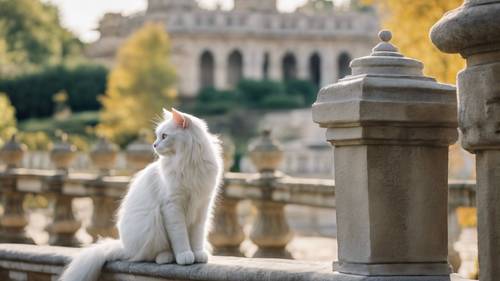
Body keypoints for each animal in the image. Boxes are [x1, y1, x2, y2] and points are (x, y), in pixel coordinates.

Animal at [59, 107, 223, 280]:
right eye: (158, 136)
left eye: (164, 136)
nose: (154, 145)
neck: (188, 163)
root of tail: (124, 247)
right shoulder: (172, 206)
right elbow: (180, 236)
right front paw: (184, 255)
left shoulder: (202, 205)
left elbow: (197, 236)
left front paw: (198, 254)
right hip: (152, 221)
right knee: (148, 255)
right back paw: (167, 257)